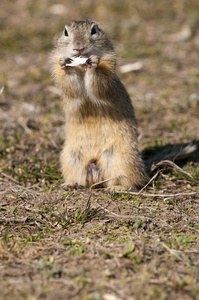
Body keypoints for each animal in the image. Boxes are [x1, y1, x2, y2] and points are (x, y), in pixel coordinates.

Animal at [50, 20, 148, 190]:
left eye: (94, 30)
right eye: (65, 32)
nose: (79, 46)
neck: (82, 67)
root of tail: (95, 166)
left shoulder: (108, 67)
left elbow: (100, 83)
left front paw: (94, 63)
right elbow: (70, 84)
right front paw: (64, 63)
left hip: (122, 159)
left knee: (132, 181)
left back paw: (117, 188)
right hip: (71, 158)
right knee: (82, 180)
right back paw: (70, 184)